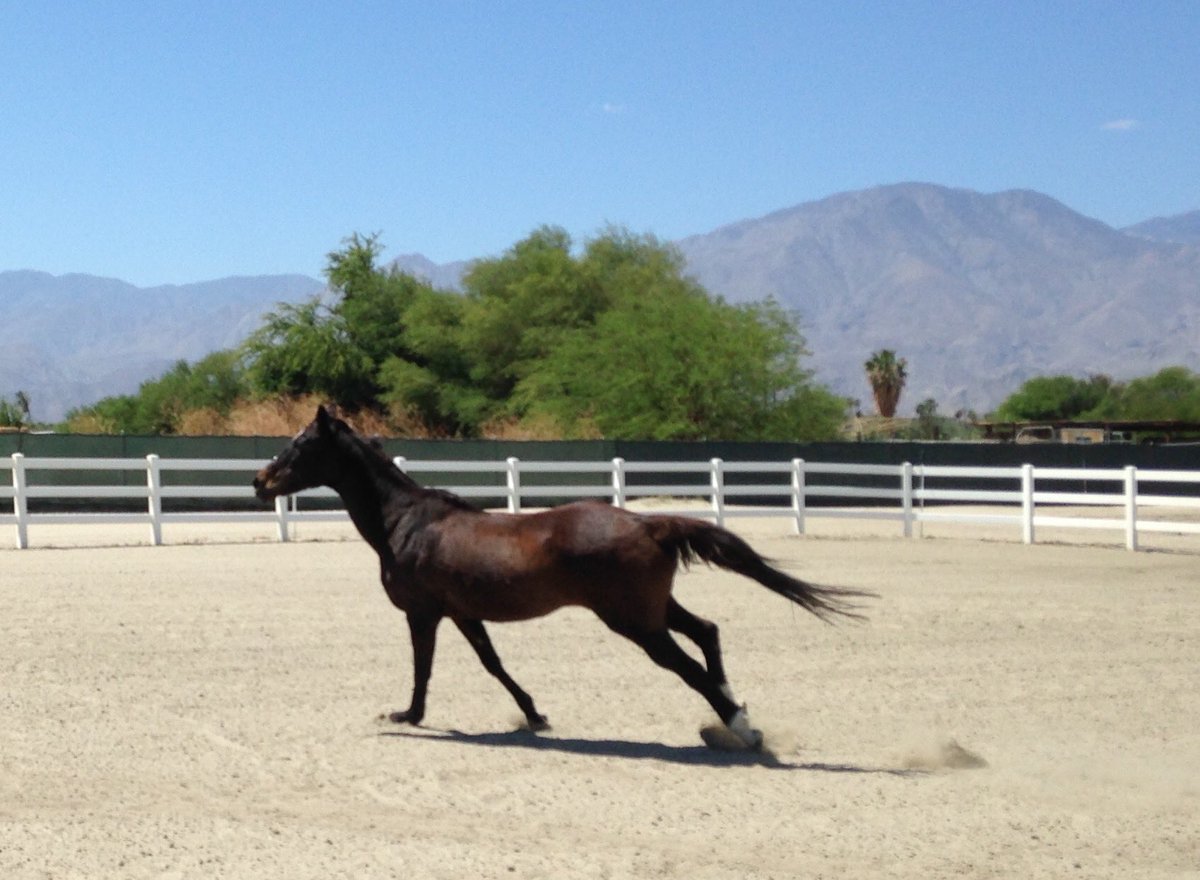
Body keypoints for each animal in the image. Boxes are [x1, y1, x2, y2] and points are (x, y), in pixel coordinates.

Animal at [253, 406, 871, 750]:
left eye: (300, 444)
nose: (260, 481)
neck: (405, 521)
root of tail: (648, 521)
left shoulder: (424, 612)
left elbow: (423, 667)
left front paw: (408, 715)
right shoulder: (463, 612)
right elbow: (493, 663)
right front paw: (534, 714)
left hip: (635, 623)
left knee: (692, 666)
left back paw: (740, 729)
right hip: (653, 610)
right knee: (708, 632)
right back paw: (734, 710)